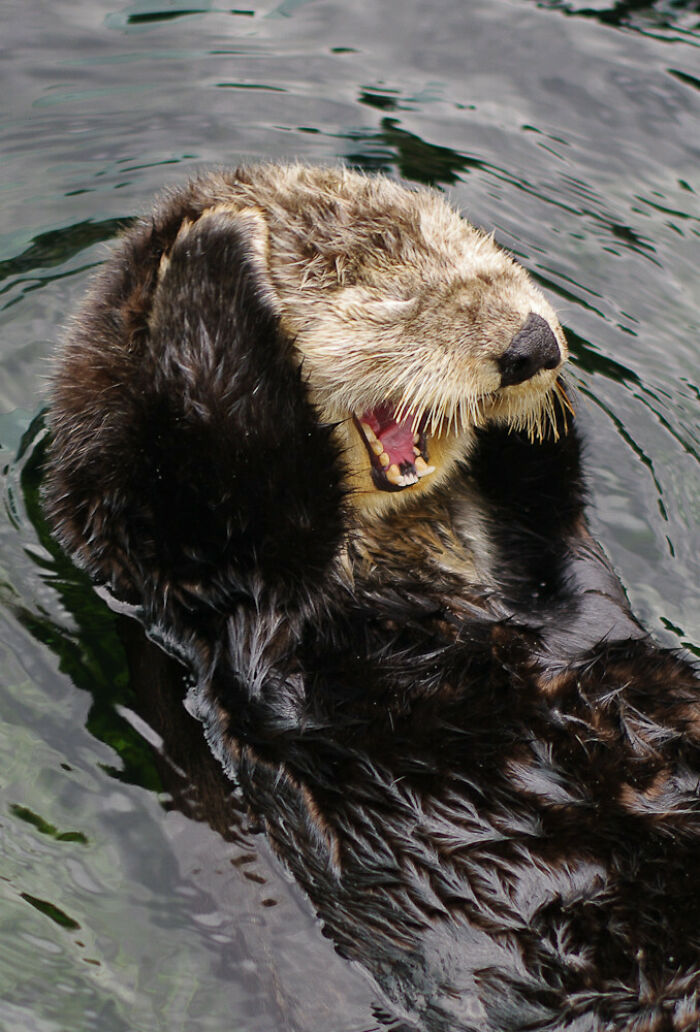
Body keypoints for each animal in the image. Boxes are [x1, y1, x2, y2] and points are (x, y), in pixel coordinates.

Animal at [44, 165, 700, 1031]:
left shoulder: (557, 585)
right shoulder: (199, 566)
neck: (402, 565)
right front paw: (219, 246)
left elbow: (551, 518)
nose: (533, 344)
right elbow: (239, 461)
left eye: (466, 245)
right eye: (377, 292)